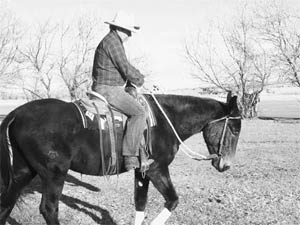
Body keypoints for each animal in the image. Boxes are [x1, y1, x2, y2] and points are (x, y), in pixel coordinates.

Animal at [0, 93, 241, 225]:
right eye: (235, 129)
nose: (226, 165)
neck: (165, 120)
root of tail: (16, 114)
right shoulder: (157, 169)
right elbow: (173, 200)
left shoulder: (142, 171)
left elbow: (140, 202)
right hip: (54, 174)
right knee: (49, 209)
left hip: (23, 172)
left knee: (7, 203)